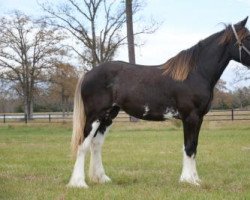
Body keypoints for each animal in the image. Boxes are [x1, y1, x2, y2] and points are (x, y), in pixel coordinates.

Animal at [67, 17, 250, 188]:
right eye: (247, 37)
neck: (196, 73)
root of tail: (89, 73)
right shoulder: (190, 117)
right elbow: (189, 147)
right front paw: (188, 180)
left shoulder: (199, 118)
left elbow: (194, 146)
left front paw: (195, 179)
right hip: (94, 116)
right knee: (83, 145)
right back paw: (79, 183)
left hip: (108, 116)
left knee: (96, 144)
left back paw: (101, 178)